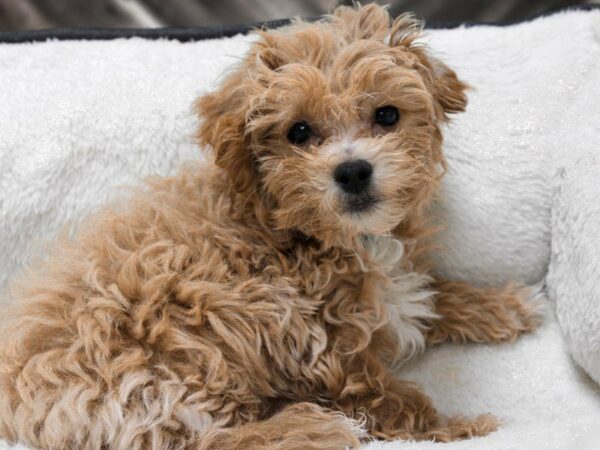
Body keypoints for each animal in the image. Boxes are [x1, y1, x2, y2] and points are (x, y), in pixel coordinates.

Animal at [0, 4, 540, 450]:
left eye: (387, 115)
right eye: (298, 131)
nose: (353, 171)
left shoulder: (396, 294)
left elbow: (434, 295)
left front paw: (504, 305)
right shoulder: (326, 353)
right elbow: (397, 403)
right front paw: (469, 427)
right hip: (170, 365)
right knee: (208, 440)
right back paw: (312, 427)